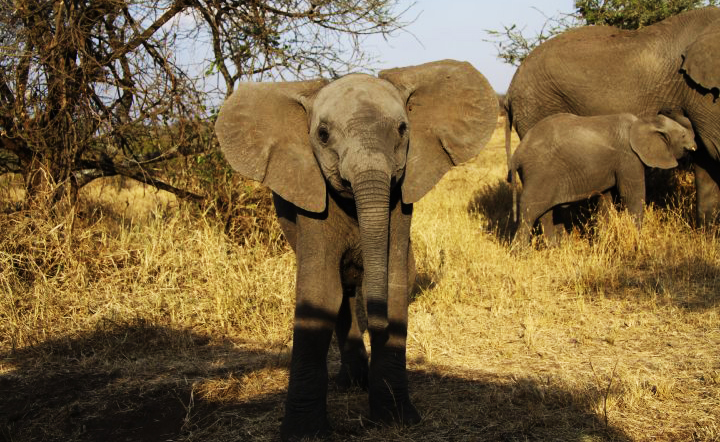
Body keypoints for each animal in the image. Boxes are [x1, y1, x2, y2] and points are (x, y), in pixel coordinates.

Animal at [214, 59, 496, 442]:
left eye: (403, 129)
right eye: (322, 135)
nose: (380, 328)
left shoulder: (399, 202)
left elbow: (395, 283)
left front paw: (394, 420)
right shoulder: (311, 194)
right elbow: (320, 290)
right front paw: (304, 434)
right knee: (341, 293)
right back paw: (352, 383)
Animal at [504, 7, 720, 224]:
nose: (669, 110)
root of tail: (509, 90)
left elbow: (707, 159)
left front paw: (705, 229)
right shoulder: (697, 91)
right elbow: (716, 149)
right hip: (535, 107)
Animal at [506, 111, 696, 245]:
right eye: (683, 136)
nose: (694, 146)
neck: (644, 121)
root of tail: (517, 155)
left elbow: (606, 199)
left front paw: (605, 239)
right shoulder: (629, 158)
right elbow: (631, 195)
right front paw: (637, 240)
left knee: (545, 212)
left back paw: (554, 248)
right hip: (539, 172)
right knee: (529, 212)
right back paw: (520, 253)